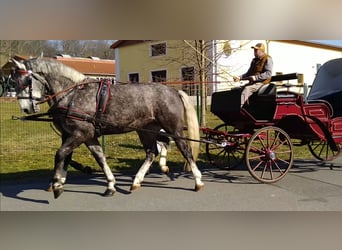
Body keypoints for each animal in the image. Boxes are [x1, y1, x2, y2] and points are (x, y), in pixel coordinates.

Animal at [11, 57, 203, 199]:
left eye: (26, 81)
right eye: (13, 82)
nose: (26, 108)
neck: (72, 95)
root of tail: (173, 91)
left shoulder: (80, 134)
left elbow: (60, 154)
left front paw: (57, 184)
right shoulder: (79, 135)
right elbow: (95, 158)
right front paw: (110, 185)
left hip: (174, 129)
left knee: (185, 150)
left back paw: (198, 181)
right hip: (146, 130)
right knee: (152, 151)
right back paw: (137, 181)